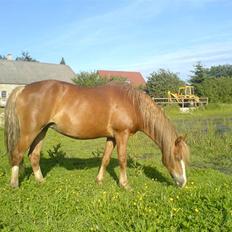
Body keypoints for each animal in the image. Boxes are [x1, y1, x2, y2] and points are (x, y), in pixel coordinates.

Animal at [4, 80, 188, 188]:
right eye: (177, 157)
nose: (183, 182)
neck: (132, 104)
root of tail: (23, 89)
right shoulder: (122, 135)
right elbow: (122, 159)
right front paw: (125, 184)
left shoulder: (112, 137)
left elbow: (105, 159)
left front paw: (99, 180)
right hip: (30, 132)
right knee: (17, 155)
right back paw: (14, 184)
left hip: (42, 131)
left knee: (33, 156)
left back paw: (41, 180)